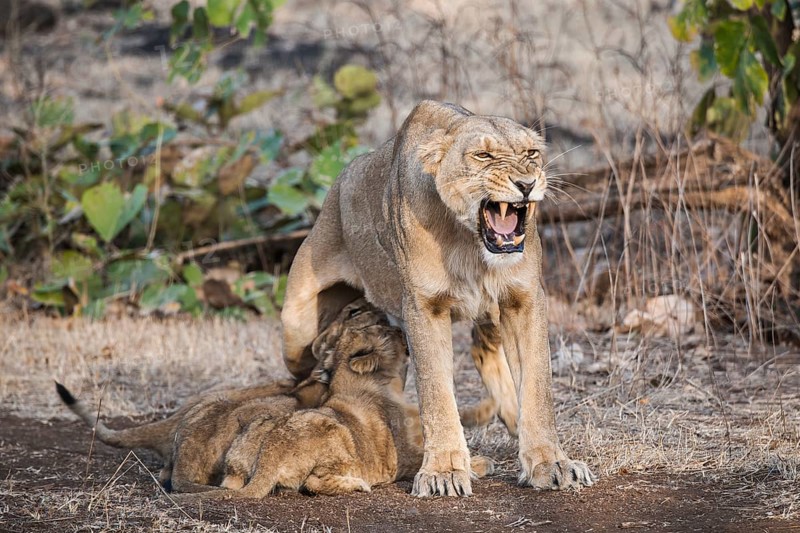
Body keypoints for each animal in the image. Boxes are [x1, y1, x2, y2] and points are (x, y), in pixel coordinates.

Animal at [181, 321, 493, 499]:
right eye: (385, 332)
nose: (401, 329)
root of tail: (269, 456)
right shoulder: (403, 455)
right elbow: (434, 460)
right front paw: (479, 464)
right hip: (337, 432)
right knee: (312, 483)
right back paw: (358, 484)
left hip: (250, 440)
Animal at [281, 100, 596, 497]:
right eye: (483, 155)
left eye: (531, 154)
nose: (526, 184)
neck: (469, 242)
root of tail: (339, 181)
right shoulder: (423, 307)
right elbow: (436, 393)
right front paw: (444, 472)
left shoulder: (523, 299)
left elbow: (538, 386)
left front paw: (550, 464)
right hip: (295, 326)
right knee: (303, 372)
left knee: (482, 349)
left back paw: (510, 416)